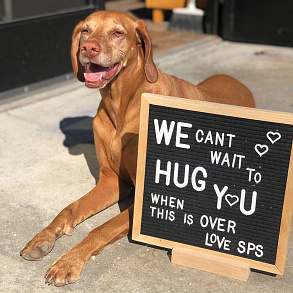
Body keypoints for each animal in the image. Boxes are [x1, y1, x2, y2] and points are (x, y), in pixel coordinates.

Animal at [20, 10, 253, 284]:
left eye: (117, 32)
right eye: (86, 30)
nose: (88, 48)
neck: (120, 104)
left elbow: (100, 229)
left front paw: (69, 261)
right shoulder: (111, 181)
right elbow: (69, 209)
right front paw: (42, 238)